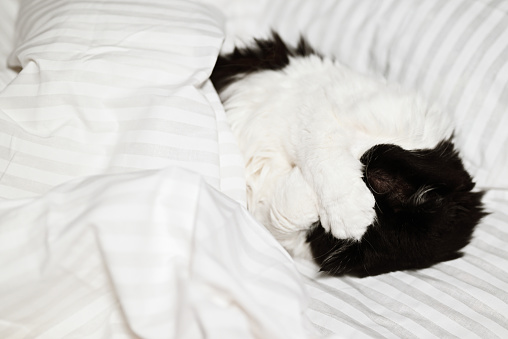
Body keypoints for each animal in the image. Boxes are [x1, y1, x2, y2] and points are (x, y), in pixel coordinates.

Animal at [209, 33, 484, 278]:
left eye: (319, 231)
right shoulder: (318, 106)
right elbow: (325, 148)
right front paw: (349, 208)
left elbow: (282, 215)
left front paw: (309, 195)